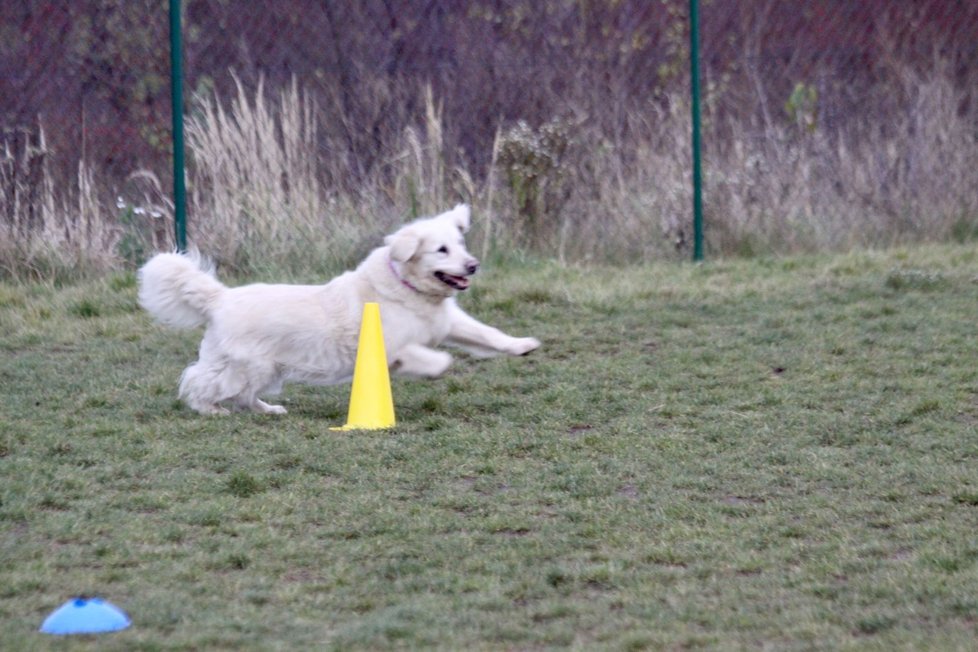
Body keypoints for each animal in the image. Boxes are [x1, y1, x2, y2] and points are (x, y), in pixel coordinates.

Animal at [136, 206, 536, 416]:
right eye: (441, 250)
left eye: (460, 243)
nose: (473, 265)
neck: (407, 289)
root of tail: (220, 298)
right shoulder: (393, 347)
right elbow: (430, 358)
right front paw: (439, 366)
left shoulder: (450, 322)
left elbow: (488, 335)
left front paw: (522, 345)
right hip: (249, 365)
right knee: (202, 381)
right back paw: (209, 409)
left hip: (265, 368)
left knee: (242, 393)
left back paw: (270, 410)